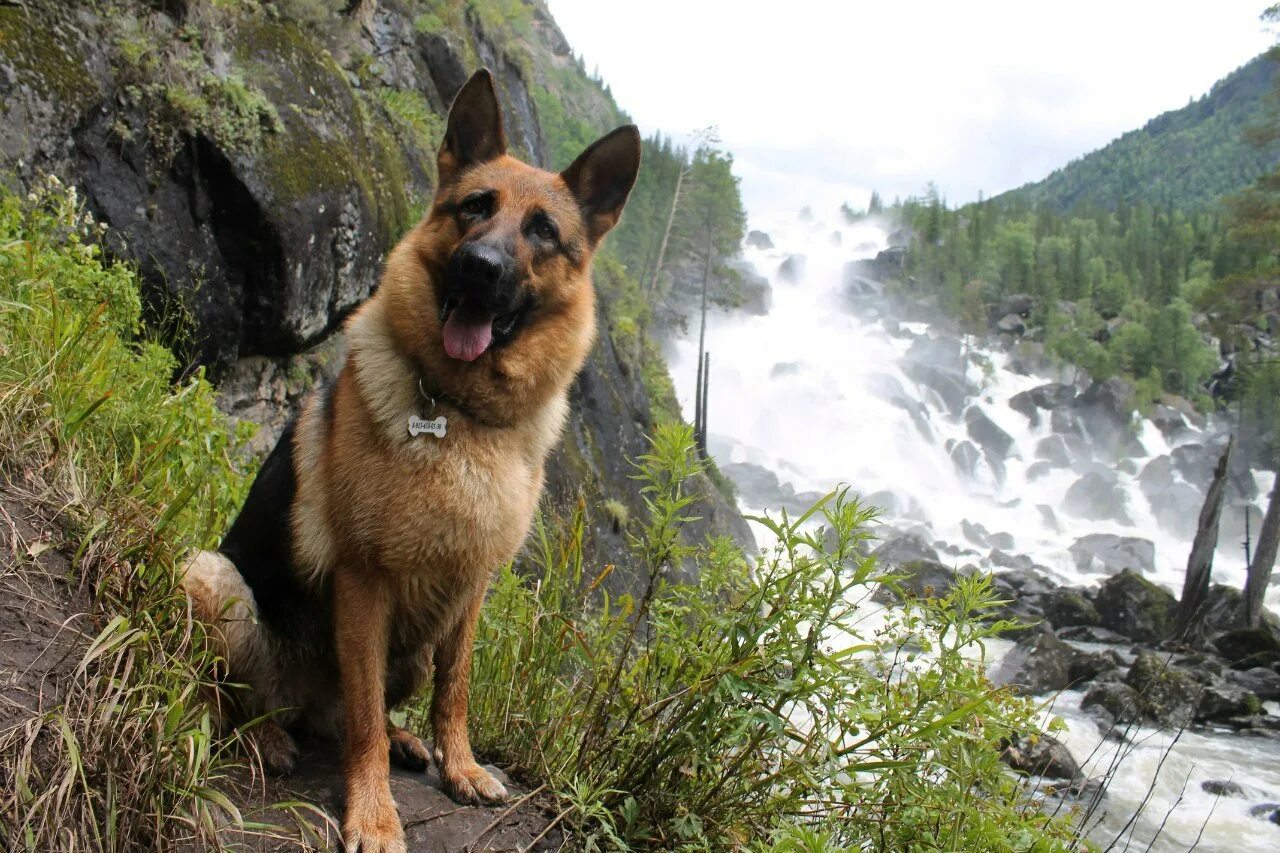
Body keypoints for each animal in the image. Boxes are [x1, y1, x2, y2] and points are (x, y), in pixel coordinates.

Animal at [180, 69, 640, 845]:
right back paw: (264, 737)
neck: (460, 412)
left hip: (413, 645)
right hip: (212, 574)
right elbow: (364, 713)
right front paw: (373, 812)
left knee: (339, 717)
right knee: (245, 700)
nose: (479, 268)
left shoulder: (472, 585)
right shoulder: (364, 583)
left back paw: (398, 738)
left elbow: (455, 689)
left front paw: (461, 765)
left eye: (542, 231)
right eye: (474, 207)